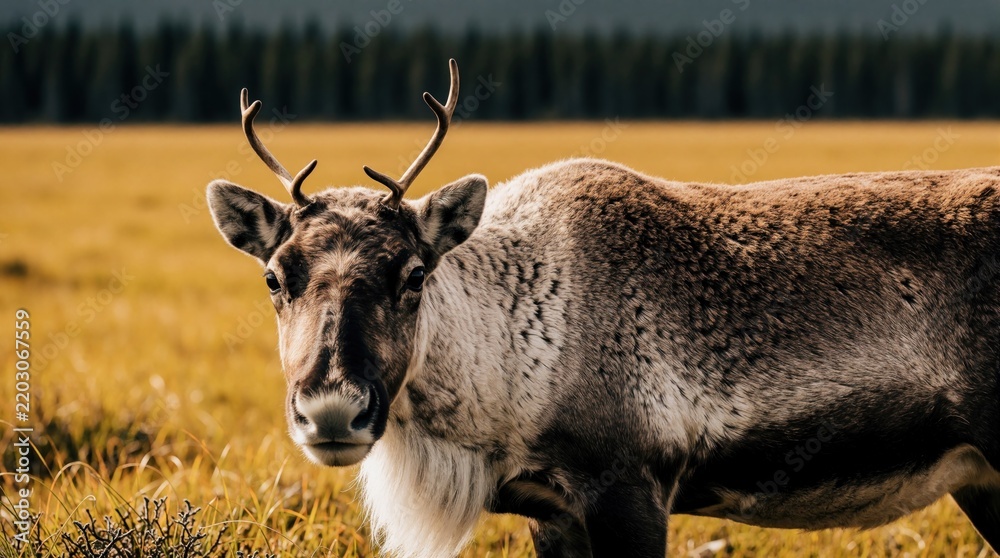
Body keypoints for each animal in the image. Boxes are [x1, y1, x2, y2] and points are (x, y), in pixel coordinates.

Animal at [207, 59, 1000, 557]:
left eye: (414, 273)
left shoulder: (631, 488)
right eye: (274, 277)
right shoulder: (552, 512)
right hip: (981, 481)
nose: (331, 411)